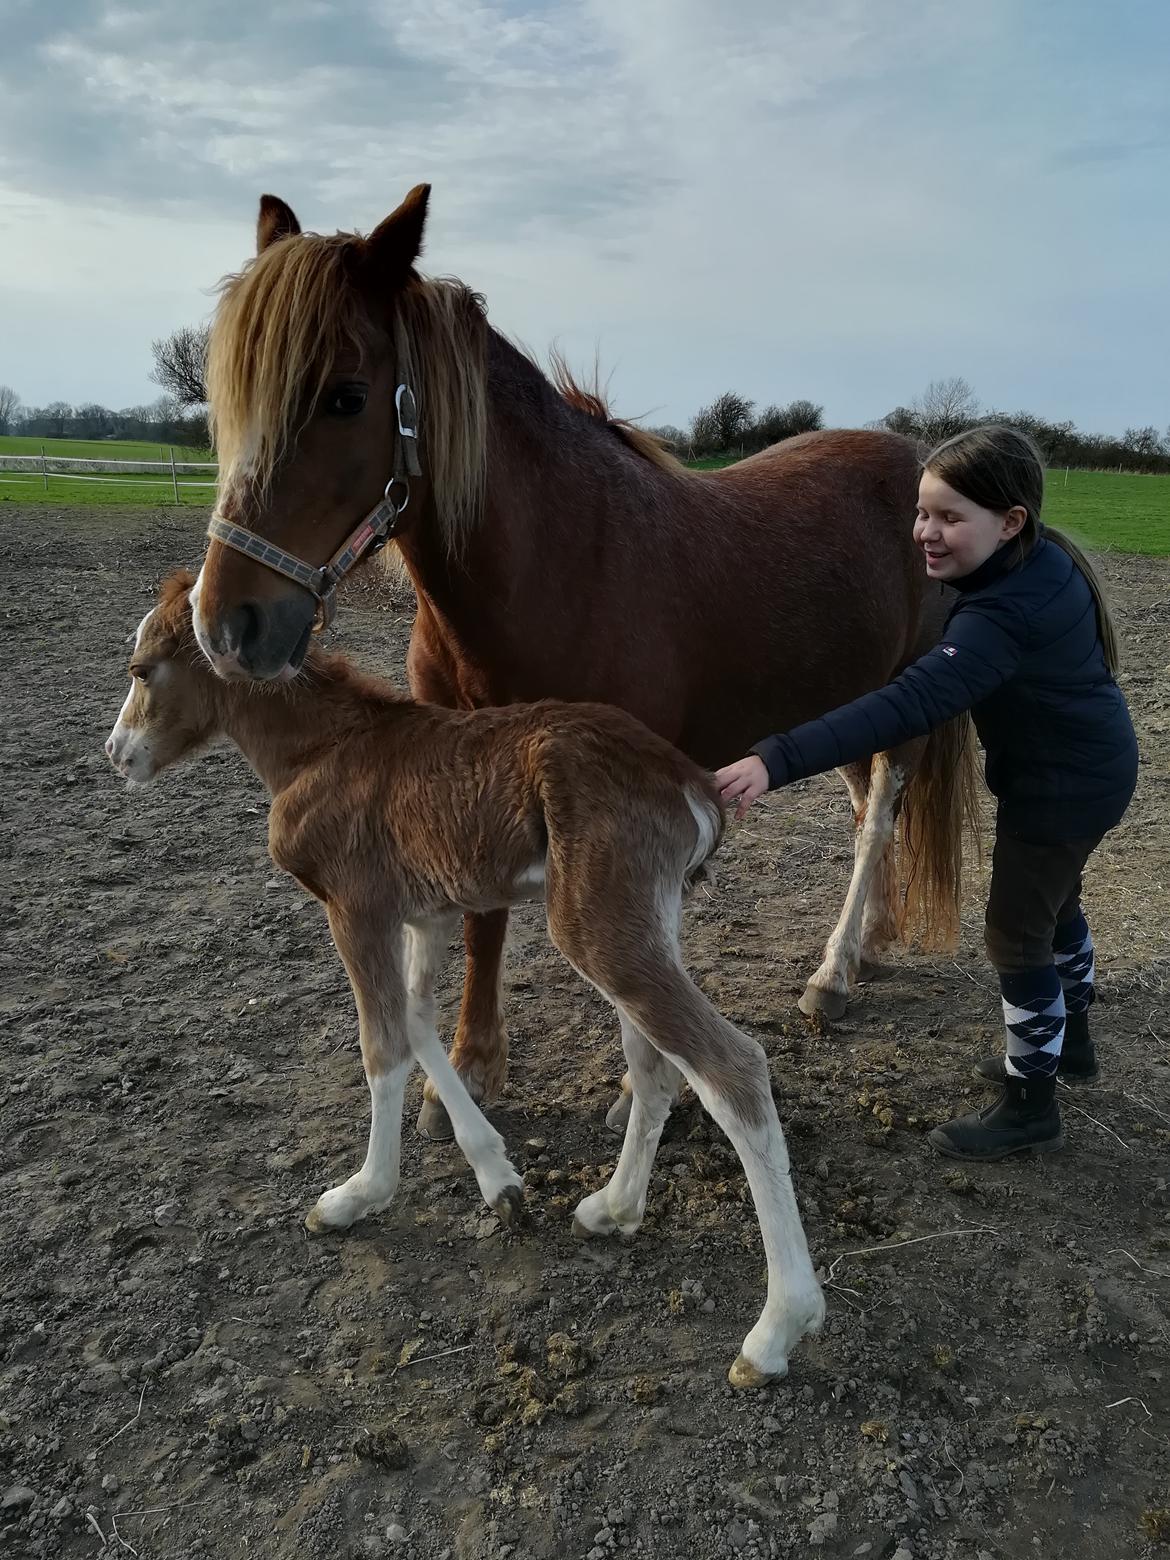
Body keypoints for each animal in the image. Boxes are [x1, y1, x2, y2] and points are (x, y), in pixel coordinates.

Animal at [107, 577, 823, 1391]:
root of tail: (691, 779)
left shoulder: (357, 909)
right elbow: (417, 1021)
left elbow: (382, 1048)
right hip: (643, 920)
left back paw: (777, 1329)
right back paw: (614, 1209)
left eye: (140, 670)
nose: (117, 755)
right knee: (657, 1070)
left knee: (732, 1069)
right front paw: (498, 1179)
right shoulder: (427, 914)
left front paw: (361, 1194)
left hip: (598, 930)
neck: (320, 752)